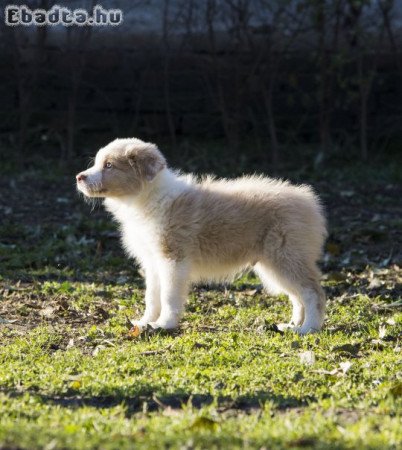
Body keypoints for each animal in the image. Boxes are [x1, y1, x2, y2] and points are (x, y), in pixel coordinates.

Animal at [77, 137, 328, 334]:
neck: (145, 198)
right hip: (274, 264)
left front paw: (164, 325)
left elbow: (168, 296)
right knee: (297, 295)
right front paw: (145, 323)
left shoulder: (173, 259)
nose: (79, 177)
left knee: (312, 292)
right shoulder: (153, 262)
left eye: (109, 165)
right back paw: (292, 325)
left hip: (285, 256)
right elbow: (152, 296)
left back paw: (308, 329)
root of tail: (308, 200)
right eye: (97, 162)